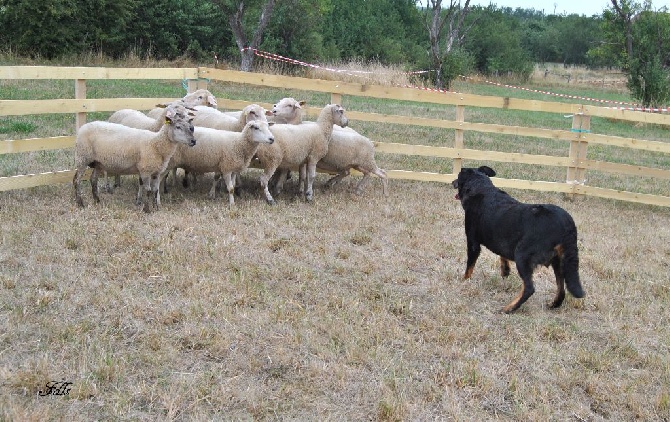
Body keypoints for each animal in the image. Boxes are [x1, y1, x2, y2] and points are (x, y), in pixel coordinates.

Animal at [454, 166, 584, 314]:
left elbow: (469, 266)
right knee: (561, 287)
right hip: (559, 261)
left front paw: (464, 280)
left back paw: (509, 308)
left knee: (529, 288)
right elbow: (502, 255)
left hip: (523, 256)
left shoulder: (473, 242)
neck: (481, 188)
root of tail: (567, 226)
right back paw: (554, 304)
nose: (452, 182)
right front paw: (505, 271)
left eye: (458, 178)